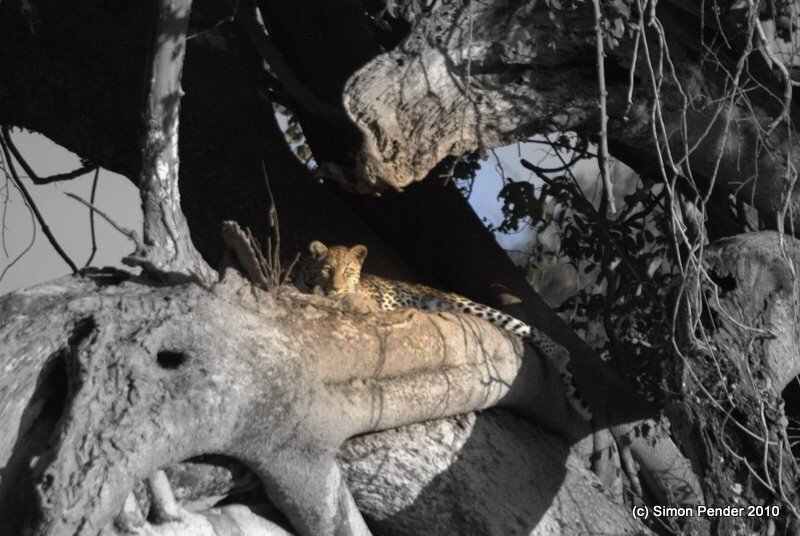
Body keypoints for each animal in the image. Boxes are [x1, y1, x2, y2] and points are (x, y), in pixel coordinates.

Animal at [295, 240, 592, 420]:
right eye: (328, 269)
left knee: (524, 326)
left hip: (467, 305)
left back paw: (561, 358)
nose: (336, 288)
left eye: (348, 271)